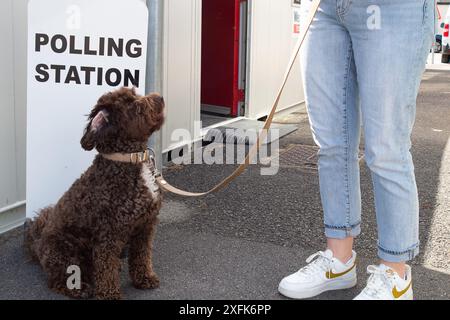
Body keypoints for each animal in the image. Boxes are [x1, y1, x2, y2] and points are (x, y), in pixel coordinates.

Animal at [24, 86, 165, 298]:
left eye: (135, 94)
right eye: (132, 104)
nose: (160, 97)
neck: (128, 160)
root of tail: (38, 245)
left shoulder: (145, 225)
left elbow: (141, 255)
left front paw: (144, 278)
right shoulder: (108, 233)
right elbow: (106, 268)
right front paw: (109, 295)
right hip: (64, 250)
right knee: (58, 279)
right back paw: (79, 288)